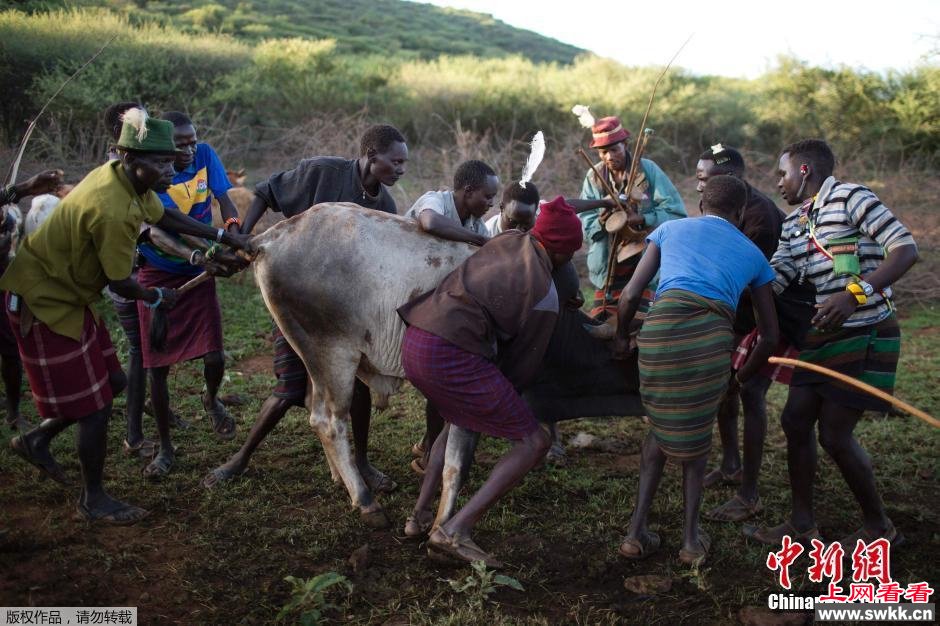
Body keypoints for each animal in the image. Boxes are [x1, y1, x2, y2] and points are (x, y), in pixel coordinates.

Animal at [250, 202, 648, 524]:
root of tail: (271, 237)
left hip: (313, 356)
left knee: (313, 409)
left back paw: (342, 480)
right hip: (333, 354)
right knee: (329, 420)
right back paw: (365, 501)